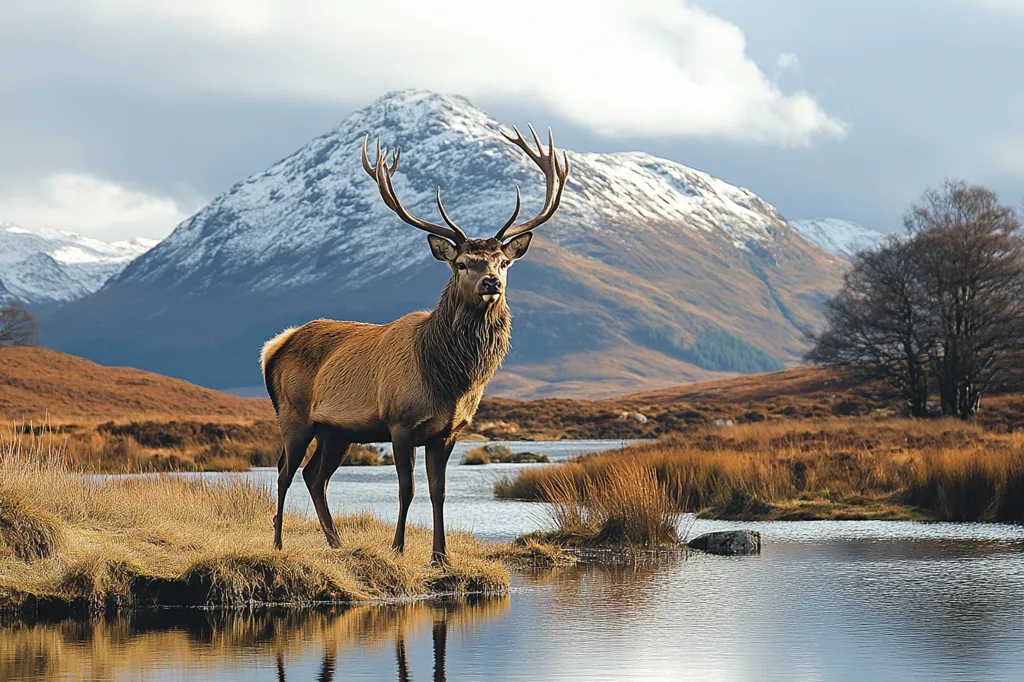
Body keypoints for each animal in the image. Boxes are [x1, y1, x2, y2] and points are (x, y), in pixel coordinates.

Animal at [260, 124, 570, 563]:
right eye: (462, 263)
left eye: (503, 262)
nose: (491, 283)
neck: (448, 378)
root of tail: (274, 347)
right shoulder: (400, 422)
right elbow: (406, 490)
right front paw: (398, 548)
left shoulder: (448, 432)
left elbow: (439, 492)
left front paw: (440, 556)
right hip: (293, 414)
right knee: (284, 472)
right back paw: (278, 543)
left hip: (335, 431)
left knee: (314, 476)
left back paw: (337, 542)